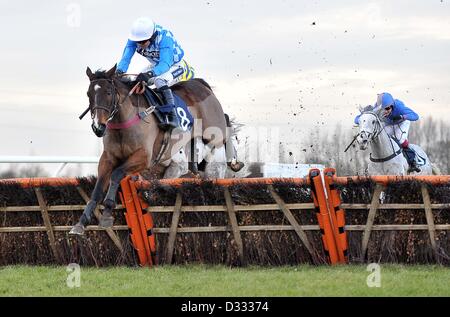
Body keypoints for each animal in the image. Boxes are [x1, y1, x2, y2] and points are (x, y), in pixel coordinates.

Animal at [69, 64, 237, 233]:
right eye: (89, 94)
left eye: (108, 92)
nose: (98, 127)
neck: (124, 122)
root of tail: (202, 85)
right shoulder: (108, 158)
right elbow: (97, 189)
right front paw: (81, 222)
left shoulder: (144, 157)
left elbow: (116, 174)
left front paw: (107, 212)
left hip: (214, 140)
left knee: (218, 166)